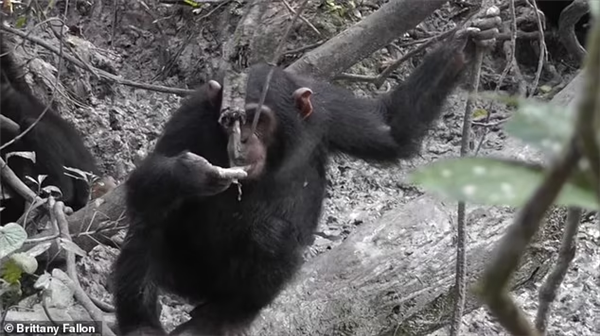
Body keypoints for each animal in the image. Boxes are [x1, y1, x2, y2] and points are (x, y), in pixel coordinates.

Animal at [112, 10, 502, 336]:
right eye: (229, 121)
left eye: (257, 120)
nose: (243, 140)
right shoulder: (192, 112)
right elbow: (143, 178)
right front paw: (192, 173)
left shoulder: (328, 109)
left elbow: (391, 129)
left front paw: (465, 43)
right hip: (184, 279)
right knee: (150, 218)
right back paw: (141, 324)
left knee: (270, 237)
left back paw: (226, 315)